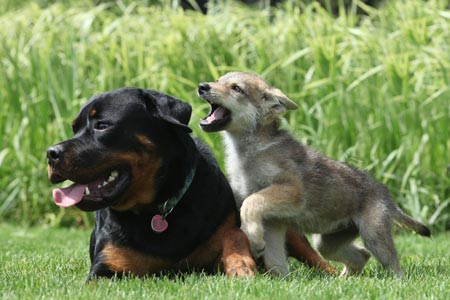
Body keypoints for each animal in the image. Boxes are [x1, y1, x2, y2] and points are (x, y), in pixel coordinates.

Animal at [48, 87, 256, 282]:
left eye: (102, 125)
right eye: (75, 129)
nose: (50, 153)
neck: (155, 208)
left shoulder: (223, 223)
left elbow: (234, 234)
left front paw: (240, 264)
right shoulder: (106, 267)